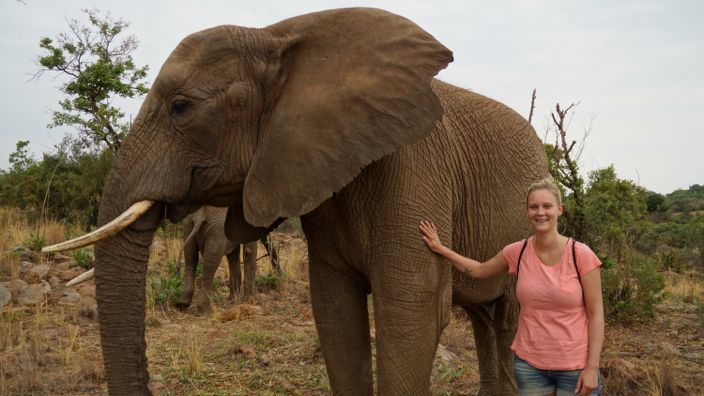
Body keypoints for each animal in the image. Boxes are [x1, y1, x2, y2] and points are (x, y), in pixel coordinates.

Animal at [46, 6, 548, 396]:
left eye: (181, 107)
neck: (275, 35)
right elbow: (335, 311)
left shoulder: (416, 170)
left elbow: (410, 311)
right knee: (484, 319)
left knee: (507, 318)